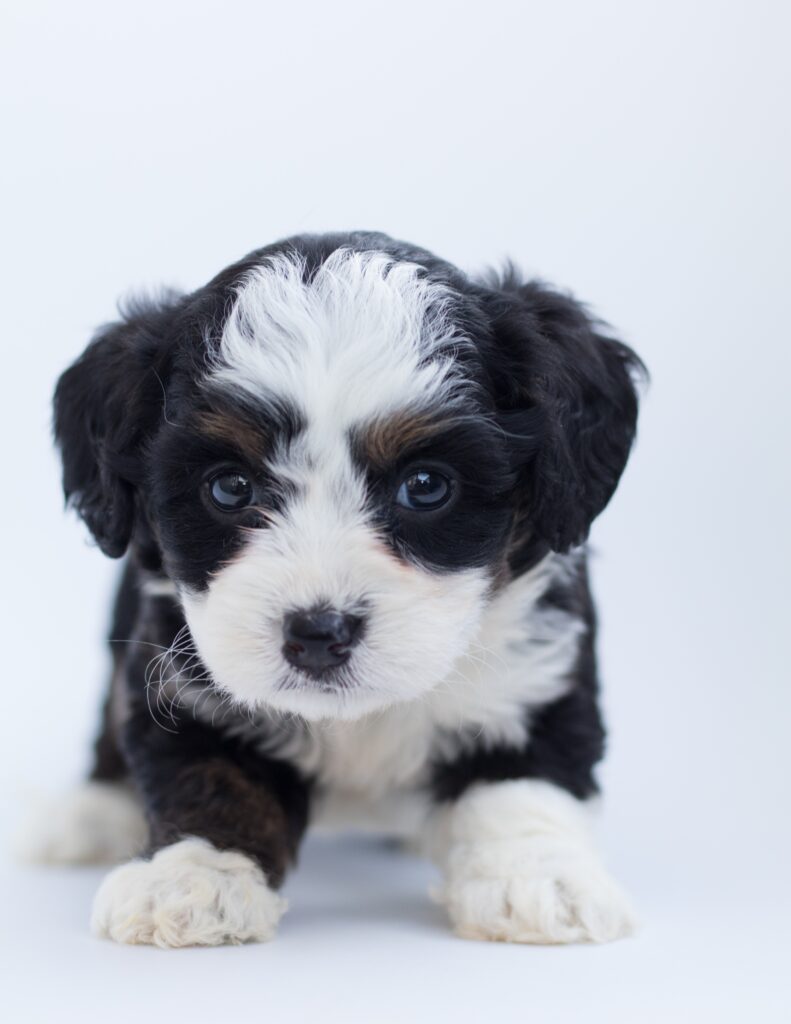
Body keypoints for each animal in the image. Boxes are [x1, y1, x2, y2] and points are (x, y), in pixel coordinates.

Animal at [35, 230, 643, 942]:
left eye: (426, 485)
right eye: (229, 487)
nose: (318, 634)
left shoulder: (536, 665)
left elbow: (524, 777)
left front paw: (536, 878)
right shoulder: (179, 673)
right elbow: (210, 773)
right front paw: (192, 875)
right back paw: (92, 813)